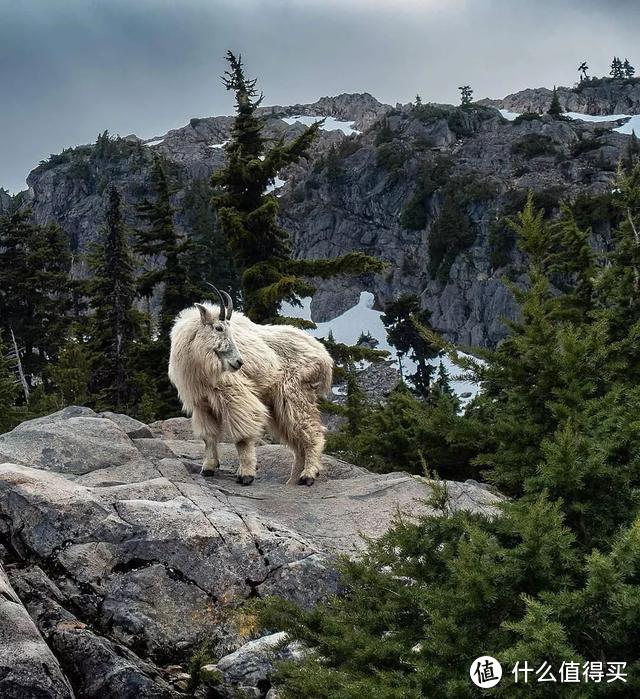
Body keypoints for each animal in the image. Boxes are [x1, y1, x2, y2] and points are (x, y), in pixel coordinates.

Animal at [168, 284, 332, 486]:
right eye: (218, 328)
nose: (239, 362)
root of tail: (325, 357)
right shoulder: (202, 404)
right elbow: (209, 437)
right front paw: (208, 468)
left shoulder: (235, 396)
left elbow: (242, 436)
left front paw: (246, 474)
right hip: (278, 405)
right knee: (297, 442)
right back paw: (293, 480)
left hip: (295, 393)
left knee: (311, 430)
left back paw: (308, 475)